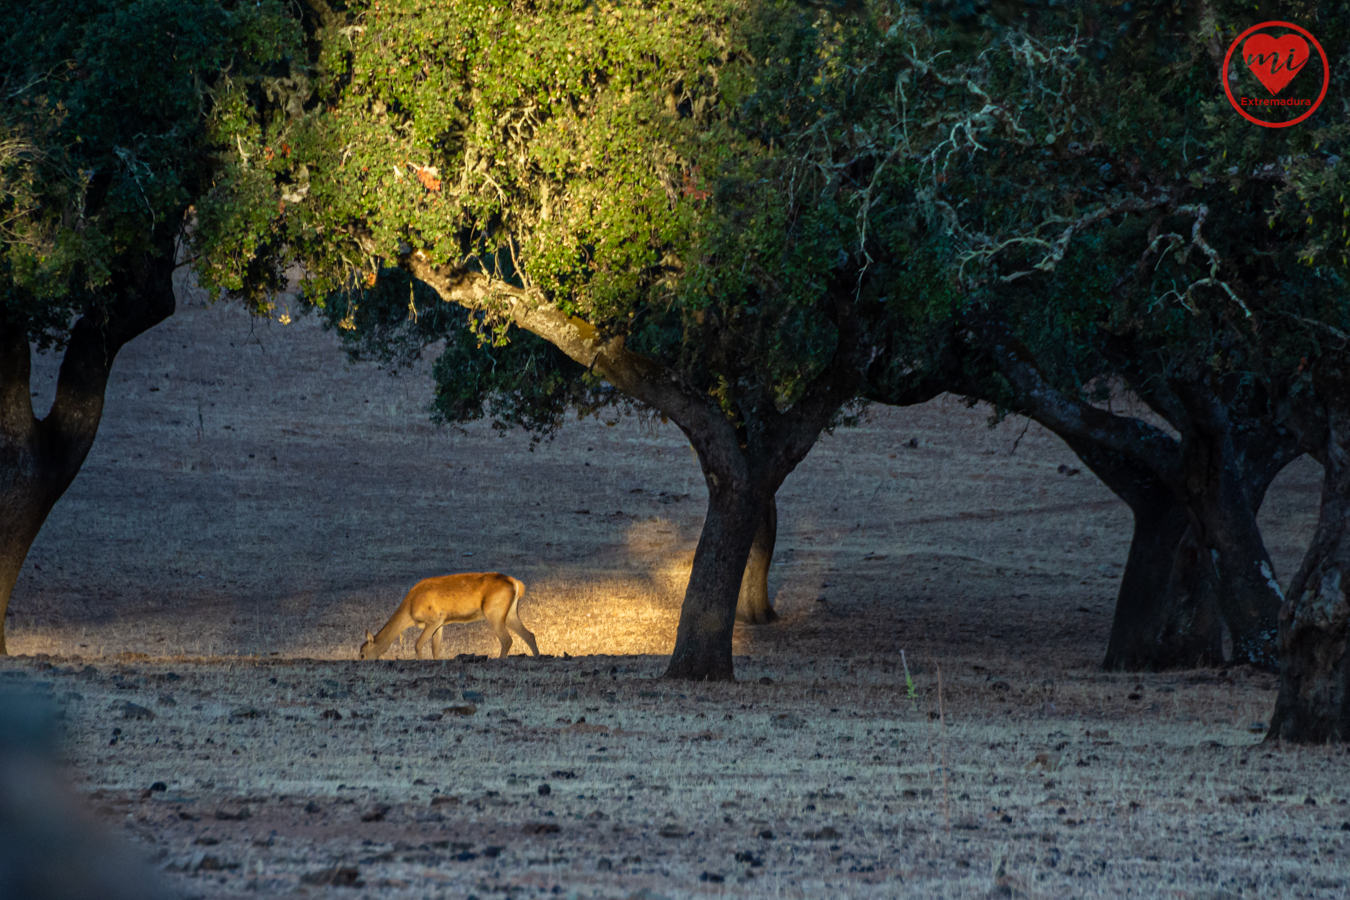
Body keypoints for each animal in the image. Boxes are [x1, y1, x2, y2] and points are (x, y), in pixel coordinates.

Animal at [364, 574, 542, 658]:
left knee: (507, 639)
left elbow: (418, 644)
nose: (361, 660)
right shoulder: (440, 623)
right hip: (510, 613)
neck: (410, 609)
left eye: (362, 654)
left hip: (494, 612)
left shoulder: (433, 619)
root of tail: (516, 583)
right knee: (529, 635)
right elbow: (435, 648)